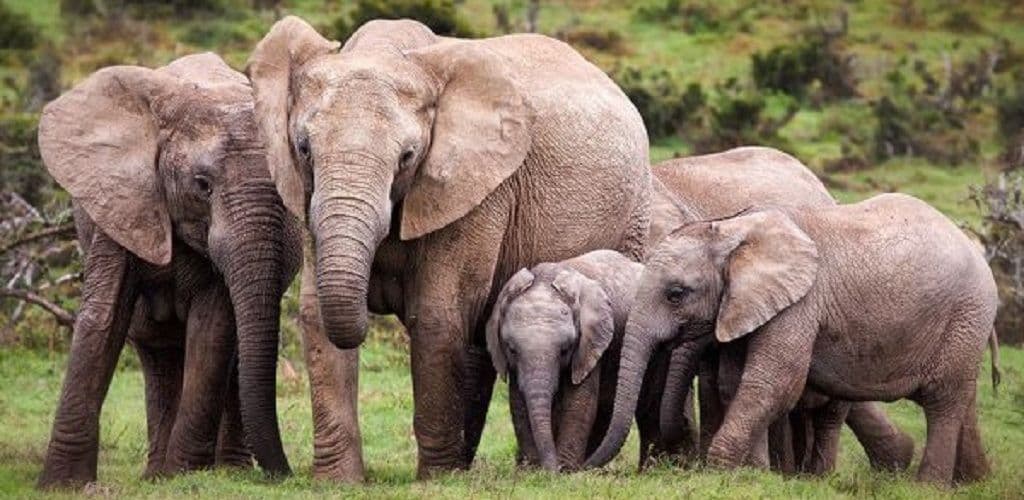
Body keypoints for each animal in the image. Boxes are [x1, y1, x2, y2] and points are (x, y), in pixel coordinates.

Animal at [35, 53, 299, 489]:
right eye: (202, 184)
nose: (288, 474)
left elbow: (213, 331)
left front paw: (185, 474)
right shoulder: (123, 202)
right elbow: (103, 318)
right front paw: (61, 485)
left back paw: (220, 470)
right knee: (156, 353)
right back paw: (156, 475)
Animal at [485, 250, 642, 471]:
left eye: (565, 349)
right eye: (512, 350)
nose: (551, 471)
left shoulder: (590, 344)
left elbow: (579, 401)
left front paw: (566, 469)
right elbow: (518, 403)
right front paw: (531, 469)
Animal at [588, 193, 998, 486]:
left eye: (676, 294)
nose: (584, 468)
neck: (735, 230)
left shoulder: (801, 302)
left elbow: (771, 382)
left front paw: (719, 470)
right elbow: (735, 383)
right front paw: (752, 474)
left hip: (967, 313)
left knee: (943, 401)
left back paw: (928, 486)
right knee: (961, 398)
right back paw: (973, 481)